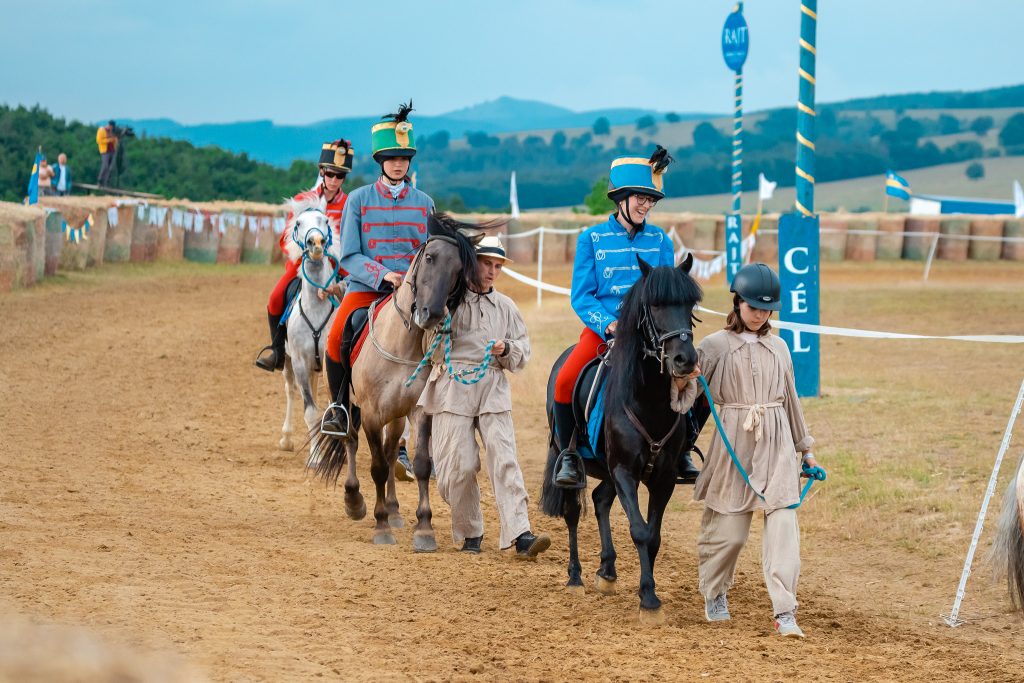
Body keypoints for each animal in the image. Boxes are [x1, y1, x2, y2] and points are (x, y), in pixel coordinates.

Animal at [540, 253, 700, 622]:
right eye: (654, 305)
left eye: (690, 304)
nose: (685, 360)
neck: (648, 401)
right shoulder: (625, 471)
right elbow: (639, 530)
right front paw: (649, 601)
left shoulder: (662, 478)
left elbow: (653, 535)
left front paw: (647, 590)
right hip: (572, 459)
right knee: (573, 510)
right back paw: (575, 576)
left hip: (608, 470)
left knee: (600, 500)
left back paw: (607, 572)